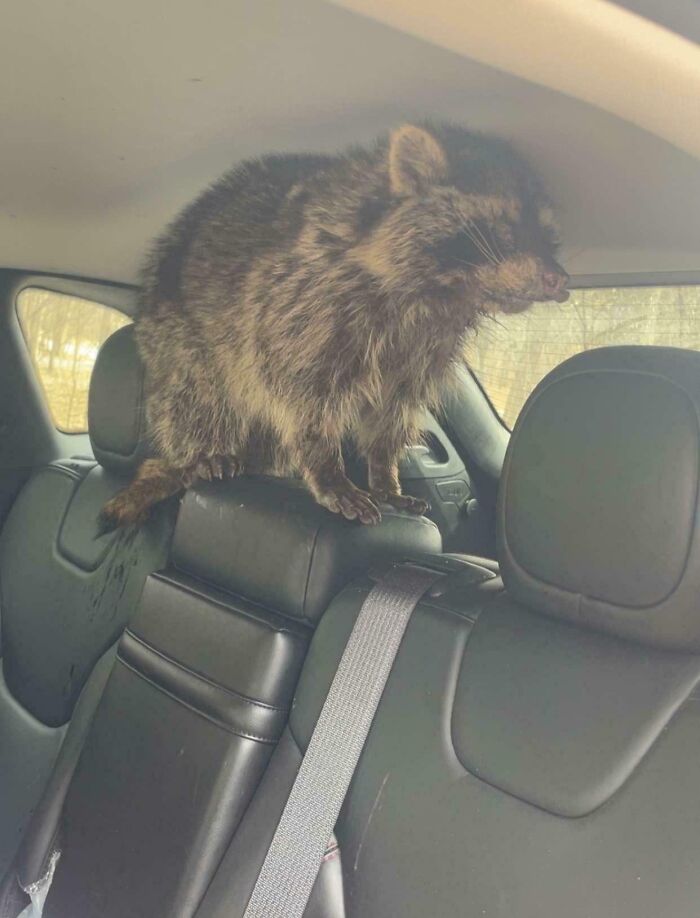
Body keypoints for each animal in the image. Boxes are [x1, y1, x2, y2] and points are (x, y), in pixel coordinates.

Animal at [102, 122, 568, 528]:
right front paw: (325, 466)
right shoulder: (302, 300)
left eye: (549, 237)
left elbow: (394, 408)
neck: (442, 293)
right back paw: (203, 451)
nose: (560, 280)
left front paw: (384, 471)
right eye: (505, 229)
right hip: (177, 335)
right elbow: (300, 391)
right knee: (200, 395)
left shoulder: (424, 345)